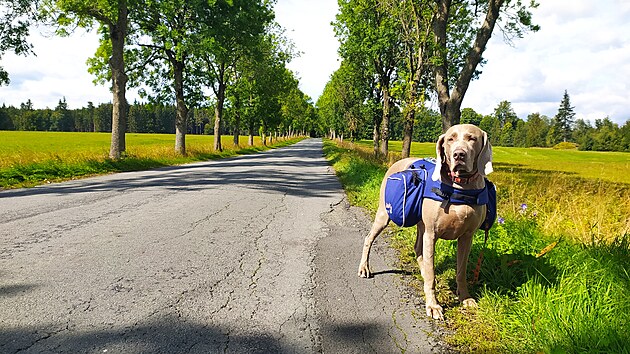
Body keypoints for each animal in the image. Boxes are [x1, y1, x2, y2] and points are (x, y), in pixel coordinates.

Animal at [358, 124, 496, 320]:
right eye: (450, 139)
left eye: (472, 138)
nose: (459, 155)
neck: (460, 187)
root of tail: (397, 163)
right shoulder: (432, 233)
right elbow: (431, 275)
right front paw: (433, 305)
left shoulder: (467, 237)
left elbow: (461, 271)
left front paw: (465, 297)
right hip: (384, 214)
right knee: (369, 238)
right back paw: (364, 267)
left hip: (421, 224)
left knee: (418, 248)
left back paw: (423, 270)